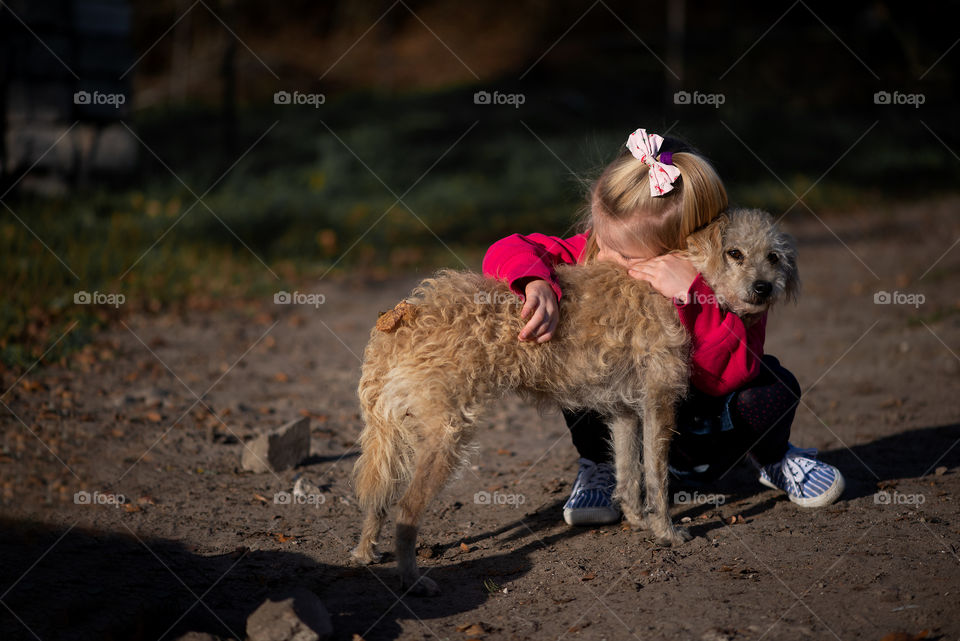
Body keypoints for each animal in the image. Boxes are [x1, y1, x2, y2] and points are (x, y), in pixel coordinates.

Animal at [348, 208, 800, 592]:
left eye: (774, 257)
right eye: (734, 253)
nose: (763, 288)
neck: (681, 281)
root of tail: (404, 317)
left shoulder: (624, 412)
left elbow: (628, 473)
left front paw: (636, 521)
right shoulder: (659, 402)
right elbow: (657, 478)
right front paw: (666, 532)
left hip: (392, 435)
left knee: (378, 499)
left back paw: (365, 552)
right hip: (443, 436)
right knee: (405, 511)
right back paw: (412, 580)